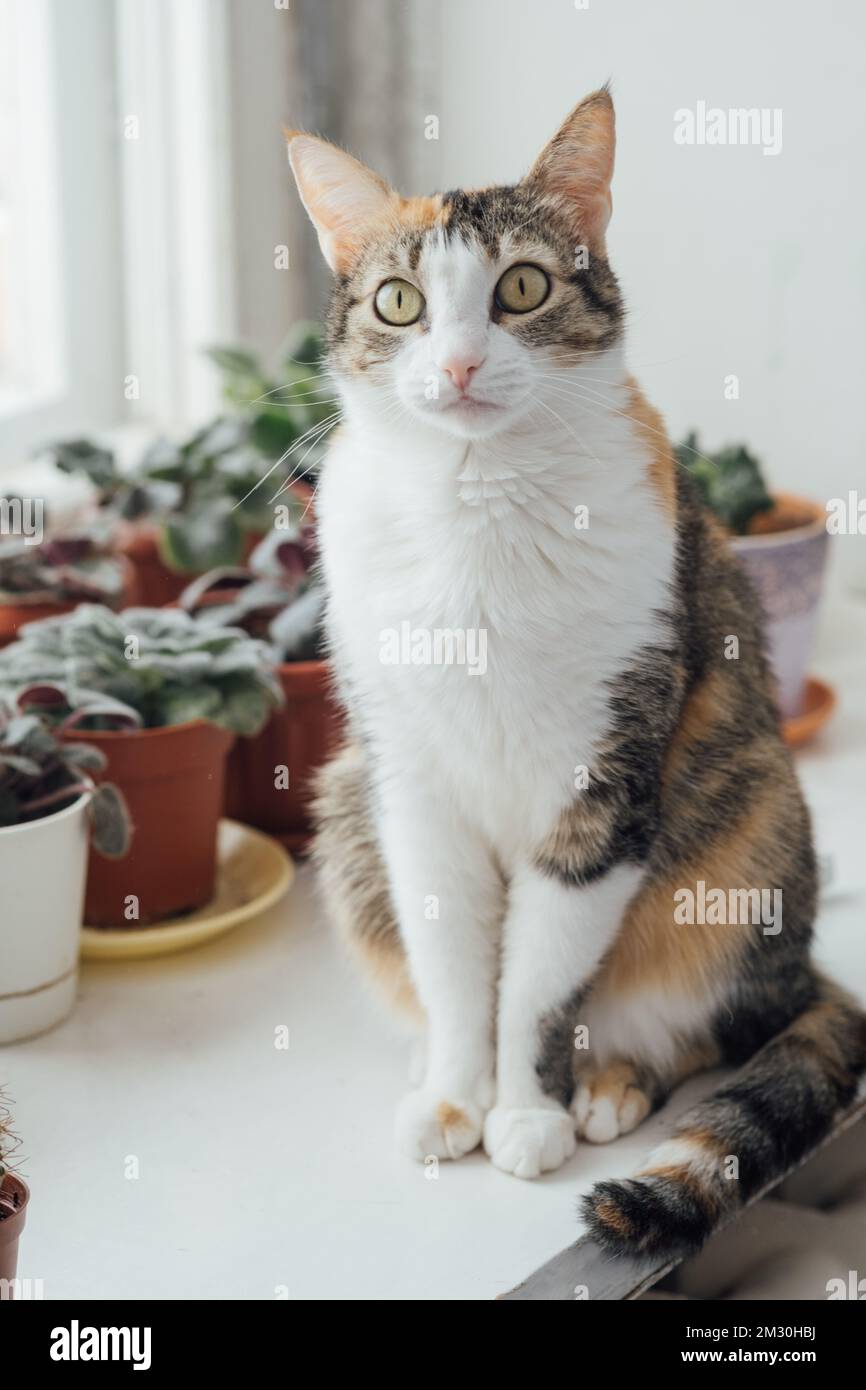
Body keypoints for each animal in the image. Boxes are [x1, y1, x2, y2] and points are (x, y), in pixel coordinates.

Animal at [291, 86, 866, 1262]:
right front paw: (457, 1091)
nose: (461, 365)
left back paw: (610, 1082)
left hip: (747, 832)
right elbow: (456, 964)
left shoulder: (604, 779)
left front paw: (524, 1110)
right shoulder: (406, 782)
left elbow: (538, 979)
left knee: (709, 1020)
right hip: (342, 804)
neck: (475, 505)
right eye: (397, 301)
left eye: (522, 286)